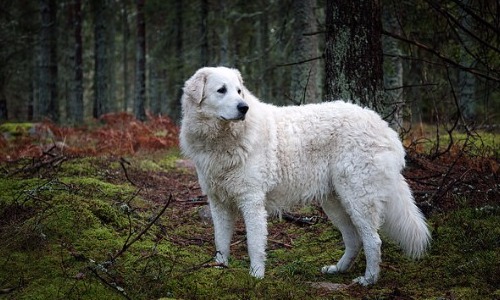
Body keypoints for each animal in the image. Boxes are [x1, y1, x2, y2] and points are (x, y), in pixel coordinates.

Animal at [180, 67, 430, 284]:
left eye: (239, 91)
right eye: (221, 90)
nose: (244, 108)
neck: (221, 140)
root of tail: (383, 126)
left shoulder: (252, 202)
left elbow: (254, 244)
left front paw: (256, 276)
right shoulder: (218, 203)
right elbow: (220, 242)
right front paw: (218, 269)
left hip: (358, 199)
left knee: (373, 241)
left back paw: (368, 280)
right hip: (334, 203)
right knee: (354, 240)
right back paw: (338, 269)